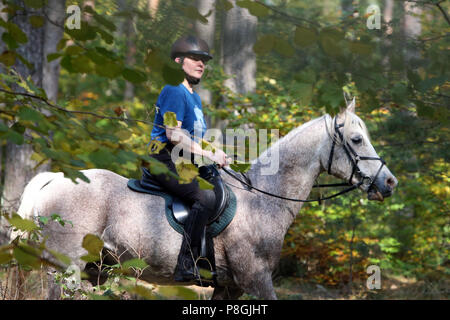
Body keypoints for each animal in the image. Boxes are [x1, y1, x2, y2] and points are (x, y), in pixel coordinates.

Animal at [16, 100, 398, 300]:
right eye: (356, 139)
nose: (389, 182)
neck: (264, 200)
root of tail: (51, 178)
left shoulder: (228, 287)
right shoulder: (255, 279)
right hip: (64, 268)